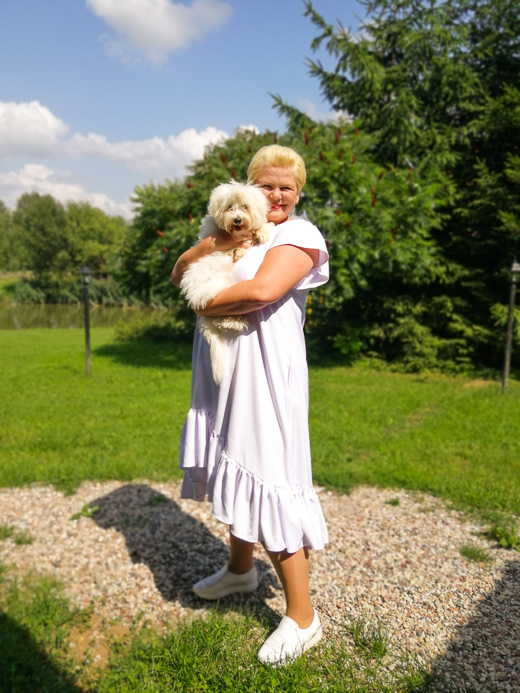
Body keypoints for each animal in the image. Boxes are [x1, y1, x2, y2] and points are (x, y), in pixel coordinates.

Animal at [180, 181, 274, 384]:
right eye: (229, 207)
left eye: (245, 207)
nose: (237, 220)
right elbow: (236, 248)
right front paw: (241, 249)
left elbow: (261, 225)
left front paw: (263, 230)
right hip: (221, 292)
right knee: (220, 318)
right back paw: (235, 322)